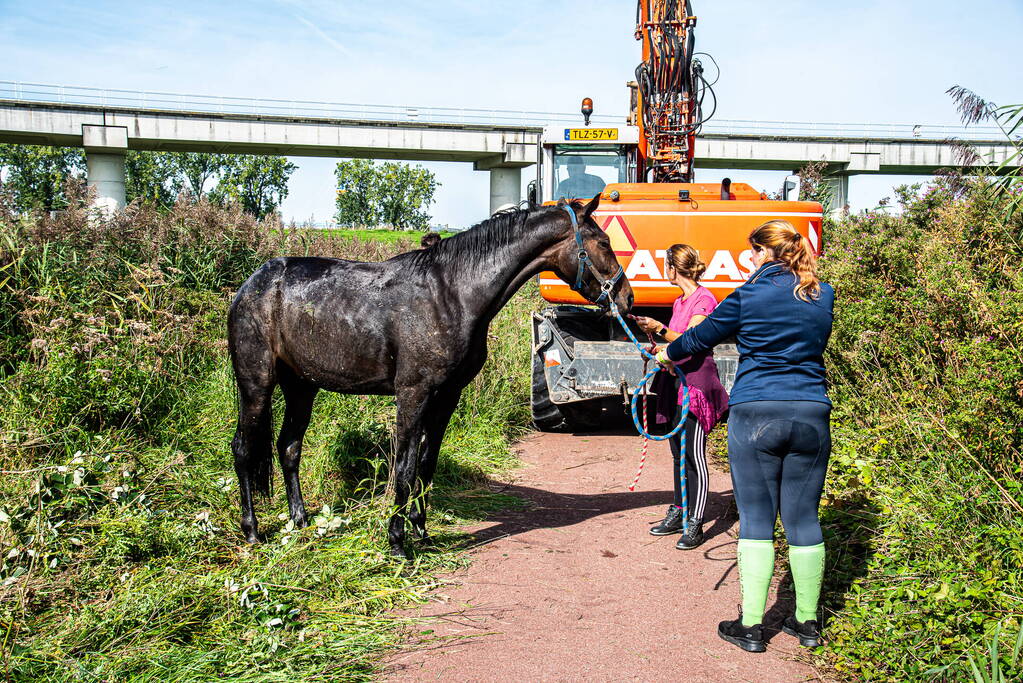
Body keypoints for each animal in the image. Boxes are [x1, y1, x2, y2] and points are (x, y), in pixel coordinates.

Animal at [229, 194, 630, 556]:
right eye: (604, 243)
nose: (625, 297)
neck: (452, 294)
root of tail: (252, 283)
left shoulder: (447, 395)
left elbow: (426, 462)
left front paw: (421, 530)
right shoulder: (413, 393)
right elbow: (404, 467)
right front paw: (397, 541)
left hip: (301, 386)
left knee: (289, 447)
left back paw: (299, 521)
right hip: (257, 384)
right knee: (244, 448)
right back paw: (252, 532)